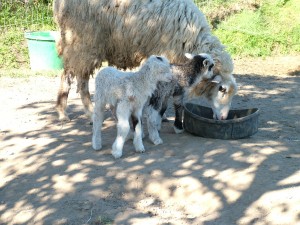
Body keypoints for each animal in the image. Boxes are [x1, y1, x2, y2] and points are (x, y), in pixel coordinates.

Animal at [53, 0, 237, 122]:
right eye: (221, 89)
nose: (224, 117)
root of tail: (58, 5)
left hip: (72, 41)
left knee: (66, 74)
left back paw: (62, 112)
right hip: (85, 40)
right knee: (82, 81)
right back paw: (90, 113)